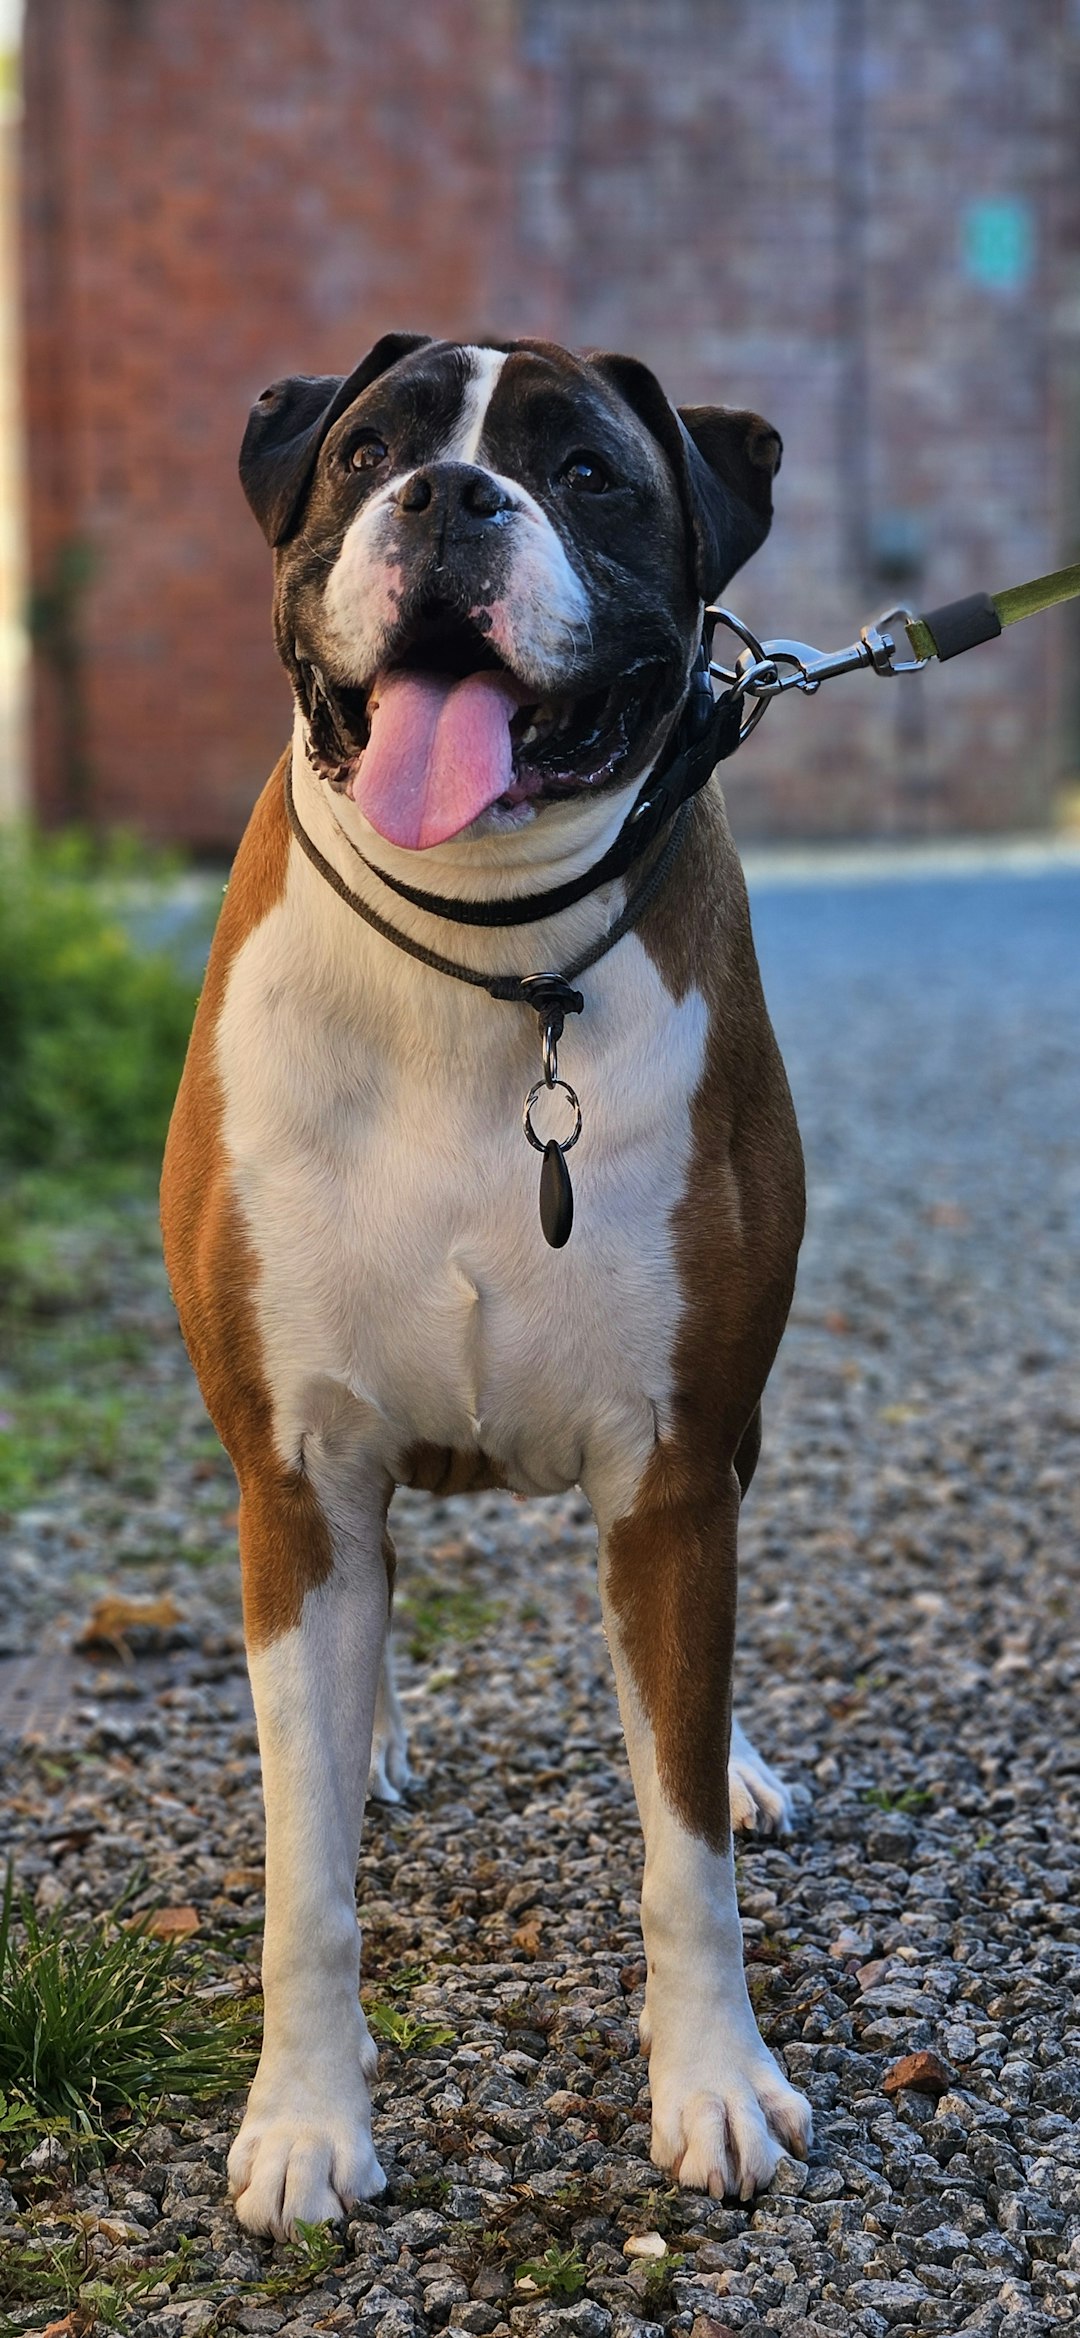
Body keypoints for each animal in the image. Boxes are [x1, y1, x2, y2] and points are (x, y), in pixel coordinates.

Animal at [162, 339, 808, 2235]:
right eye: (366, 451)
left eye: (587, 470)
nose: (449, 495)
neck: (485, 957)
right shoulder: (298, 1474)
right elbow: (305, 1878)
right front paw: (304, 2123)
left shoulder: (671, 1473)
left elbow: (679, 1841)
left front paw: (713, 2082)